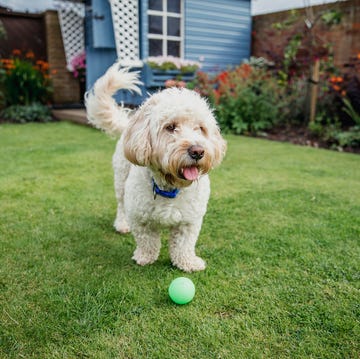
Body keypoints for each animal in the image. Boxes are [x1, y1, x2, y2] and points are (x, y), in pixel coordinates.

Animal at [85, 62, 225, 272]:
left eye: (200, 128)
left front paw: (187, 262)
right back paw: (122, 224)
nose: (198, 151)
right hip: (121, 180)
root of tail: (129, 124)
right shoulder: (140, 217)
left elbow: (184, 244)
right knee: (121, 205)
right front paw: (145, 257)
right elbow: (147, 241)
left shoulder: (190, 221)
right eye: (170, 127)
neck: (170, 187)